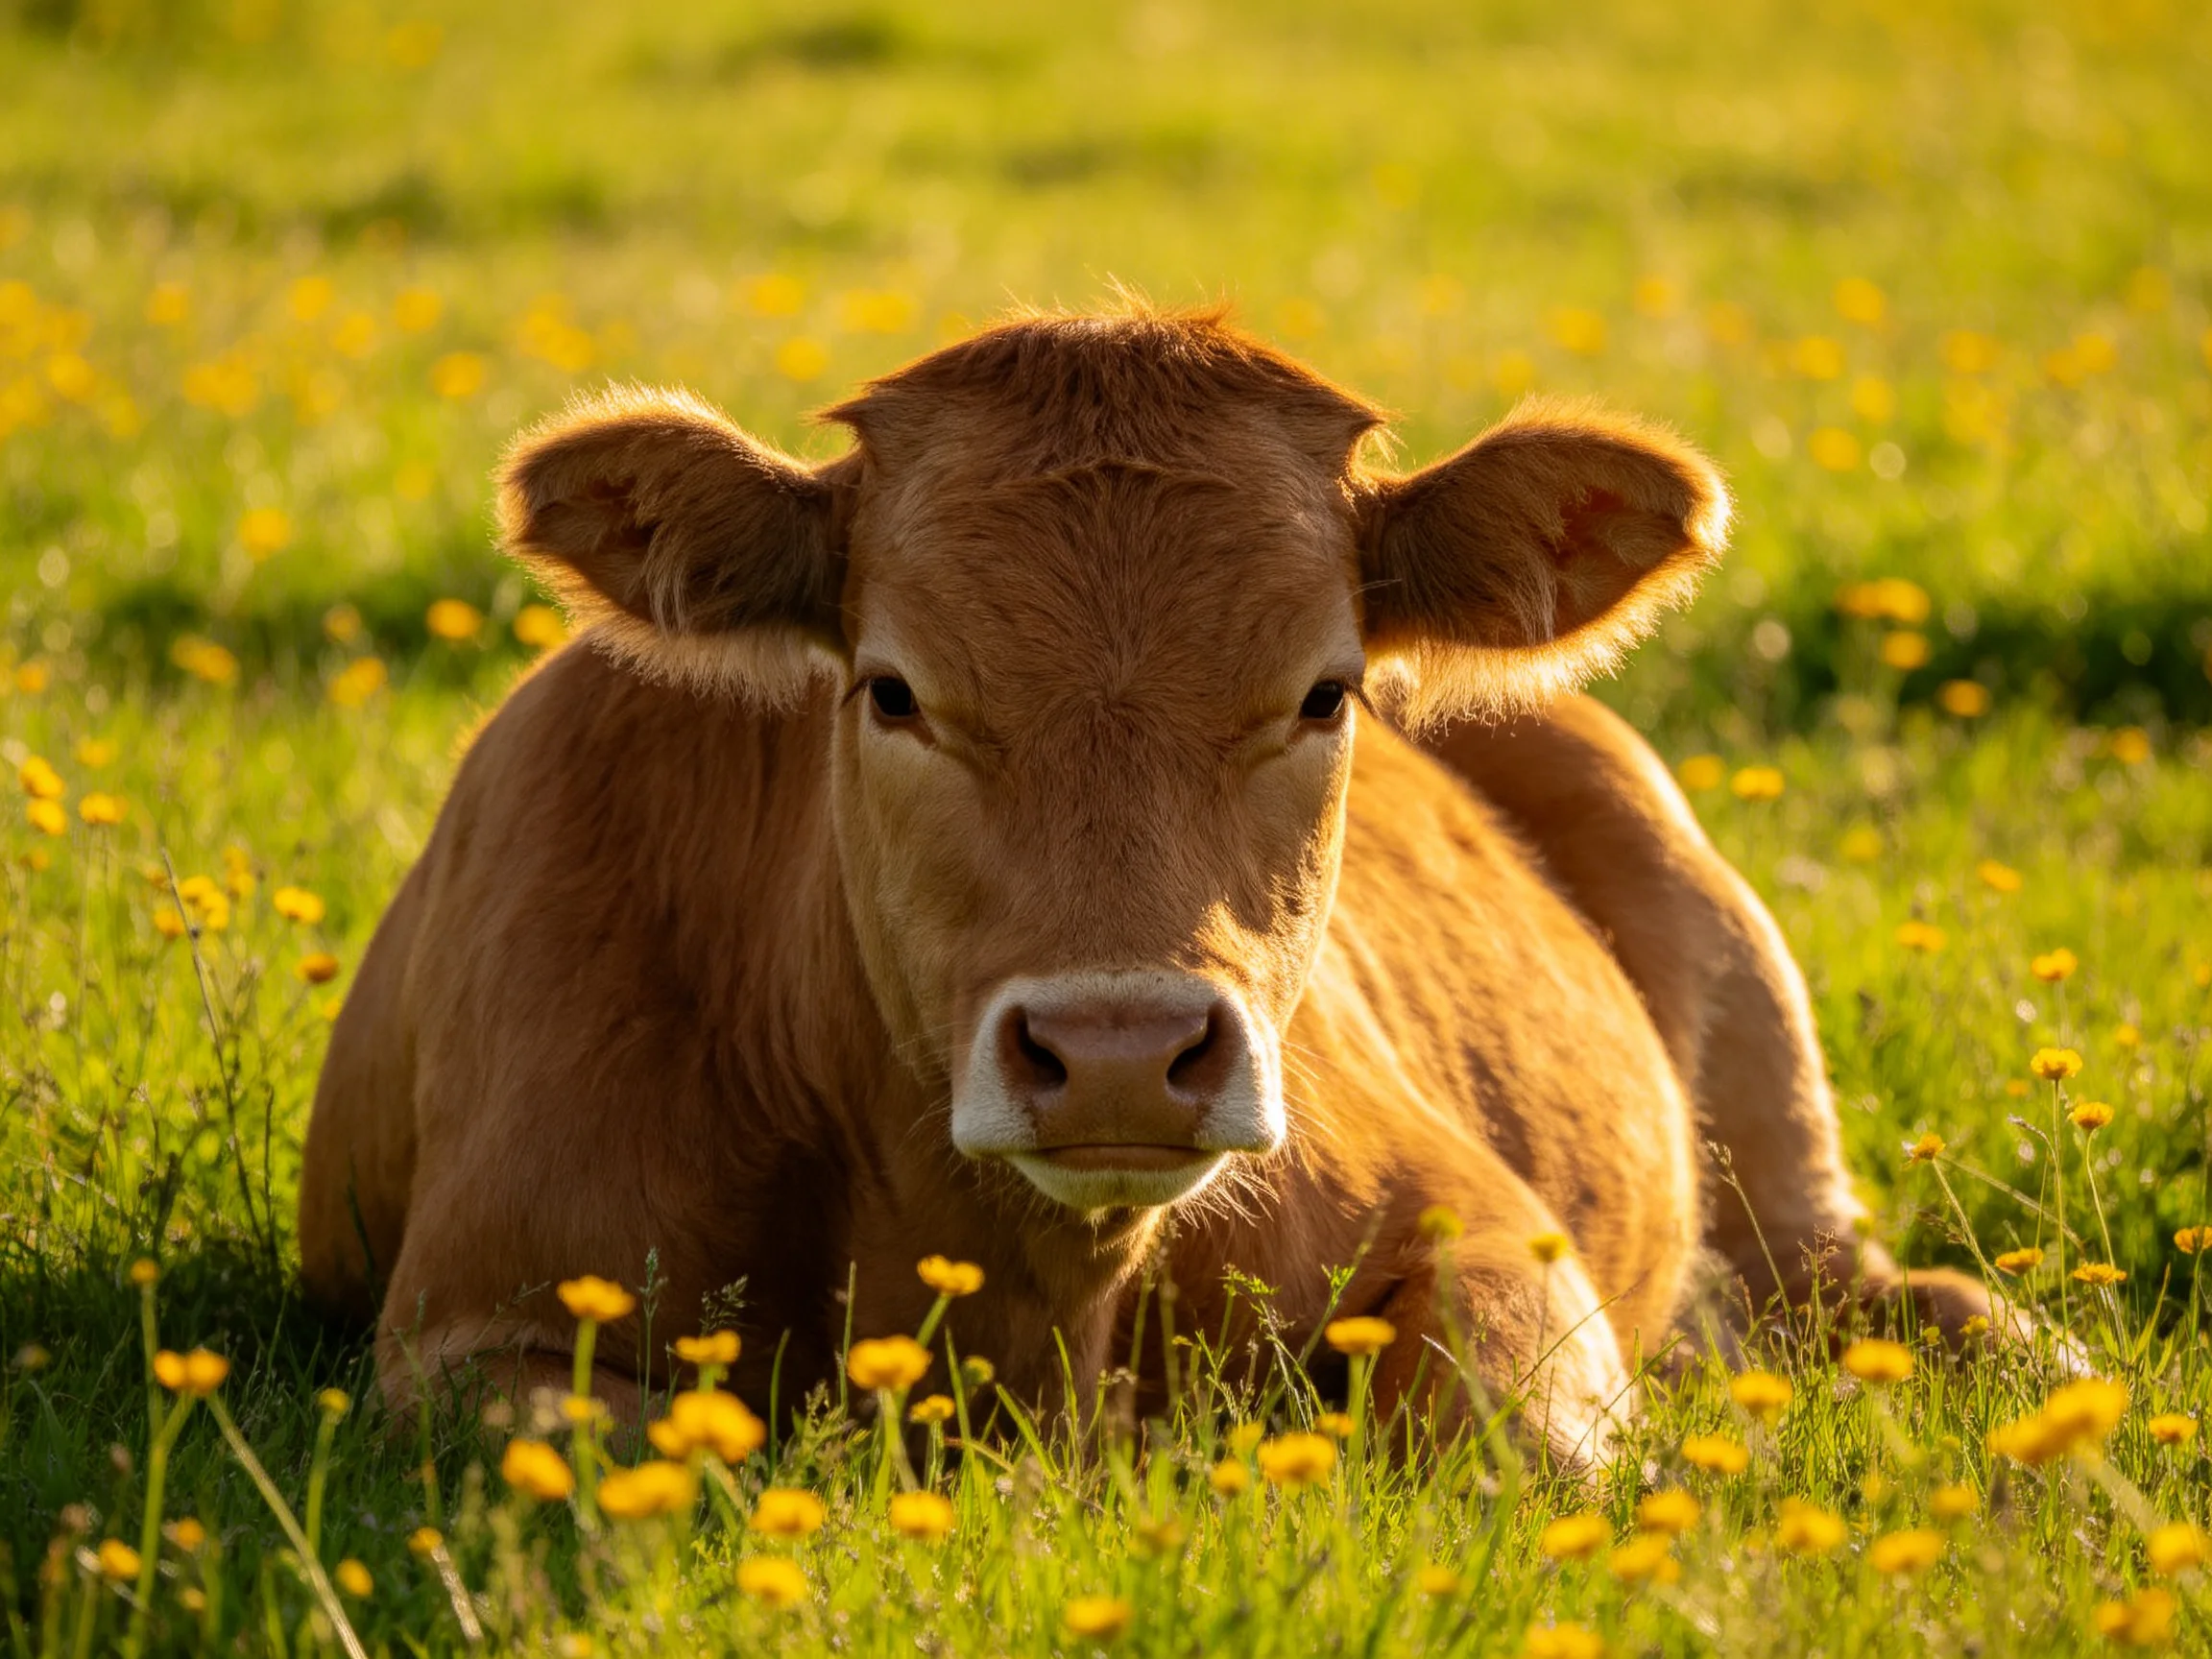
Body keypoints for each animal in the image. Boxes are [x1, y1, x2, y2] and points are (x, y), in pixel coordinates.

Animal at [298, 306, 1994, 1462]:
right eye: (892, 691)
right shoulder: (476, 1319)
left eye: (1326, 692)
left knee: (1908, 1299)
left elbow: (1506, 1450)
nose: (1118, 1054)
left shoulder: (1505, 1244)